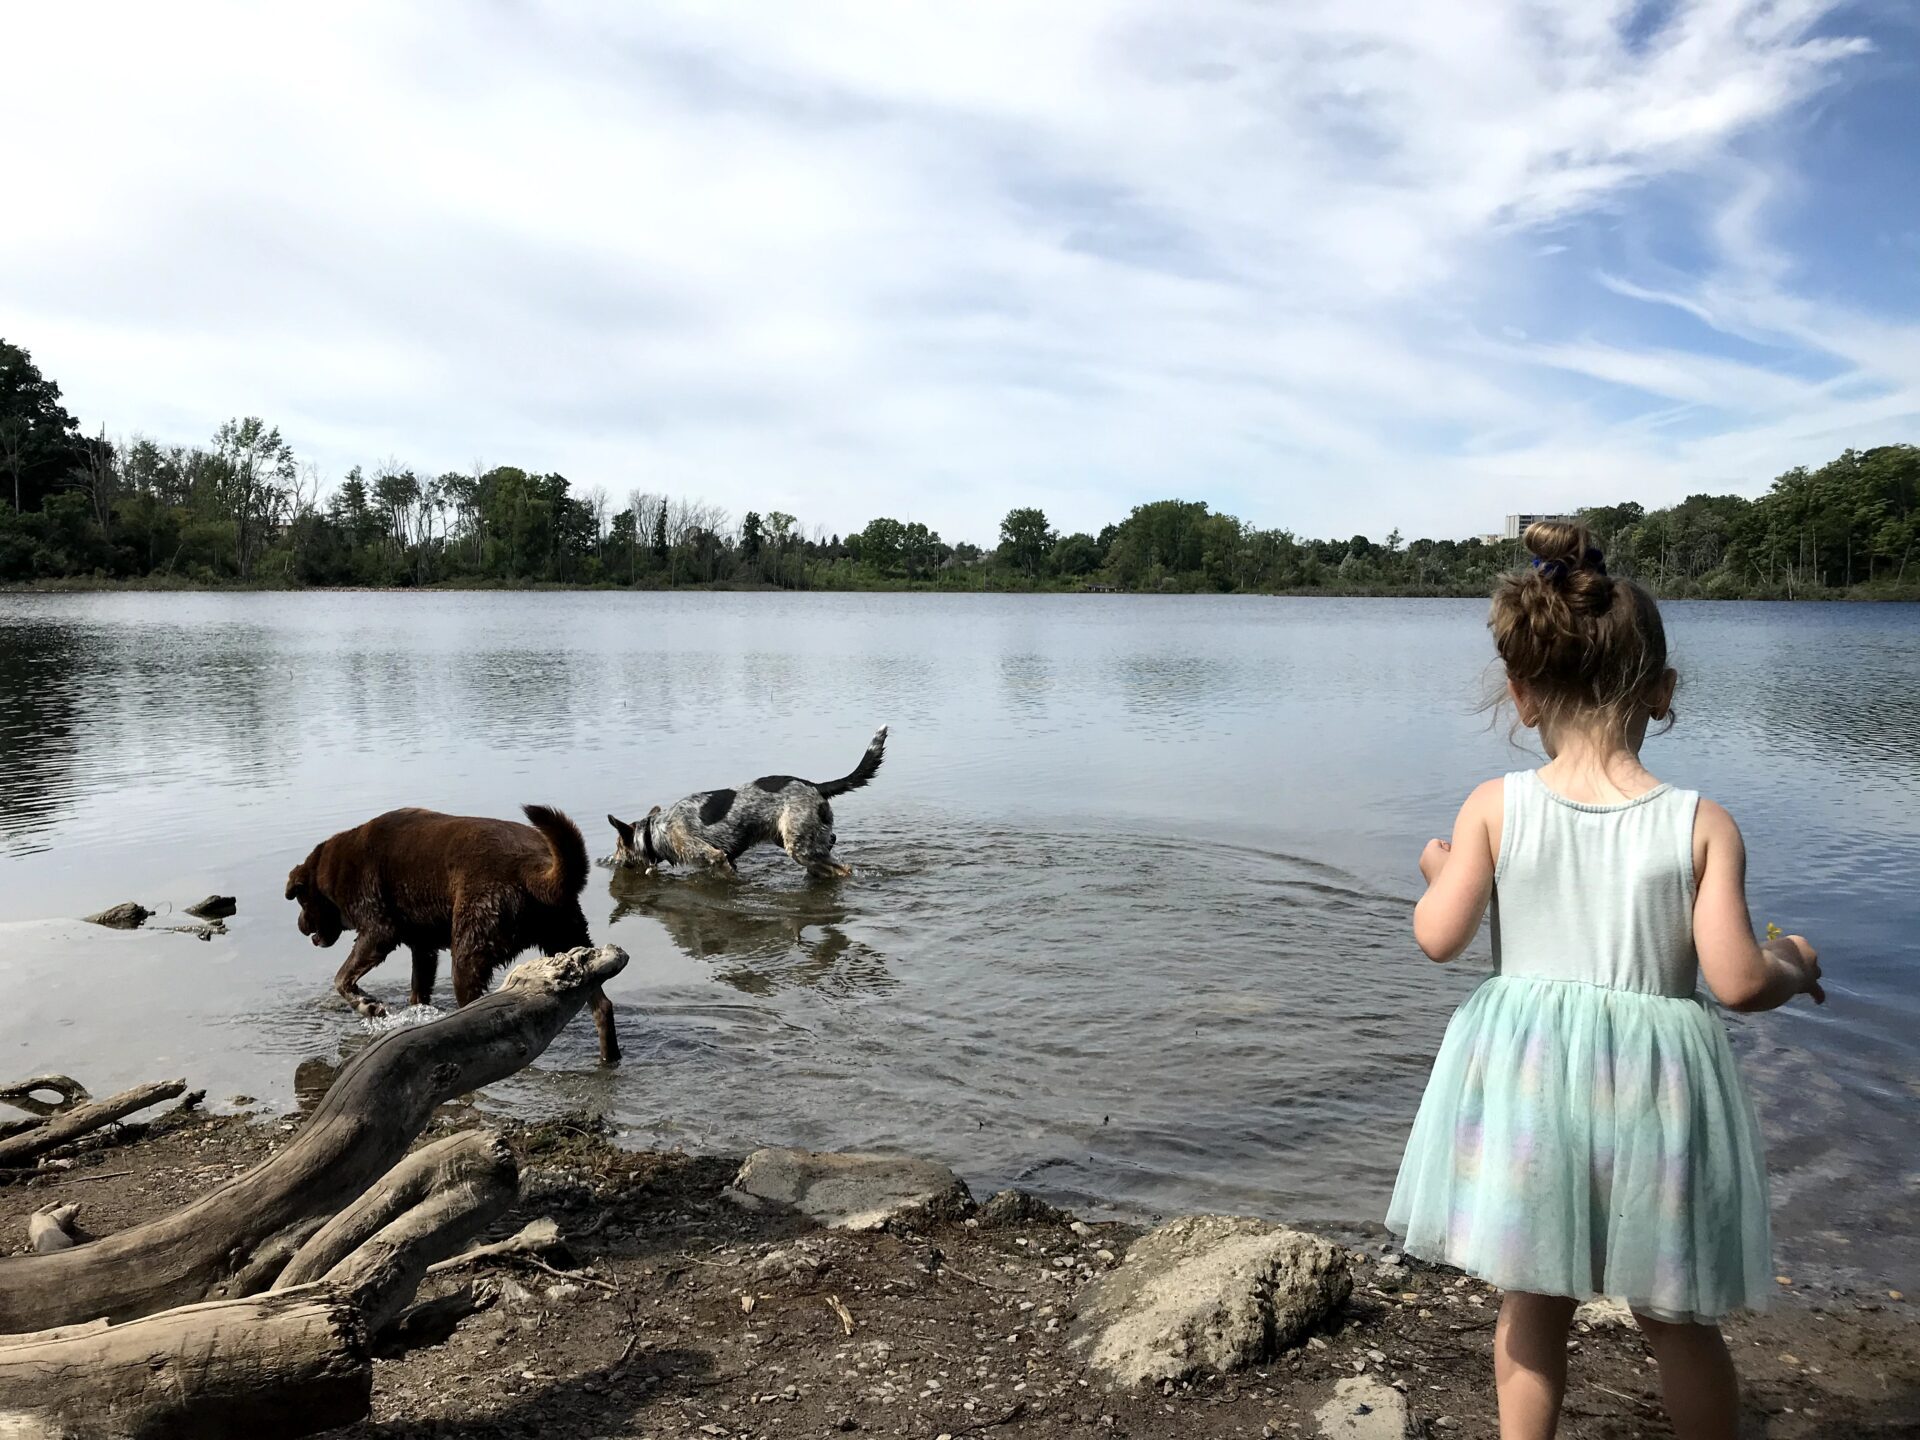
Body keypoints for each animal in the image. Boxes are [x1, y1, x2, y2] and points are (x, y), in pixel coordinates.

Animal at [284, 806, 618, 1067]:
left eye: (299, 900)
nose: (300, 926)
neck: (331, 870)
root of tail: (533, 867)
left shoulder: (378, 931)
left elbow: (342, 979)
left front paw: (369, 1006)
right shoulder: (423, 948)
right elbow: (418, 990)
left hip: (469, 951)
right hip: (569, 943)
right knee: (602, 1006)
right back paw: (608, 1057)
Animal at [610, 733, 887, 879]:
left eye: (618, 847)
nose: (612, 862)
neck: (655, 831)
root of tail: (815, 785)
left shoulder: (716, 858)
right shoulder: (726, 859)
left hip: (799, 848)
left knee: (844, 869)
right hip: (792, 840)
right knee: (830, 847)